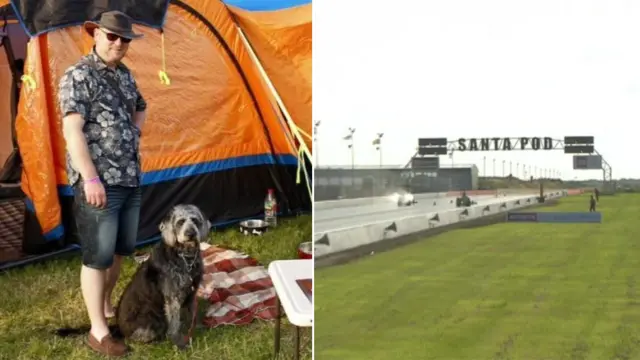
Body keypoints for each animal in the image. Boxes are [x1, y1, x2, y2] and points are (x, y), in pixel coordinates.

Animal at [116, 204, 211, 348]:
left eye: (195, 220)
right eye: (180, 222)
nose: (191, 234)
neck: (184, 257)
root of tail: (119, 329)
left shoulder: (191, 292)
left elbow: (192, 311)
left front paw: (196, 327)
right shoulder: (172, 298)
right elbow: (174, 322)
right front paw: (178, 341)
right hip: (149, 319)